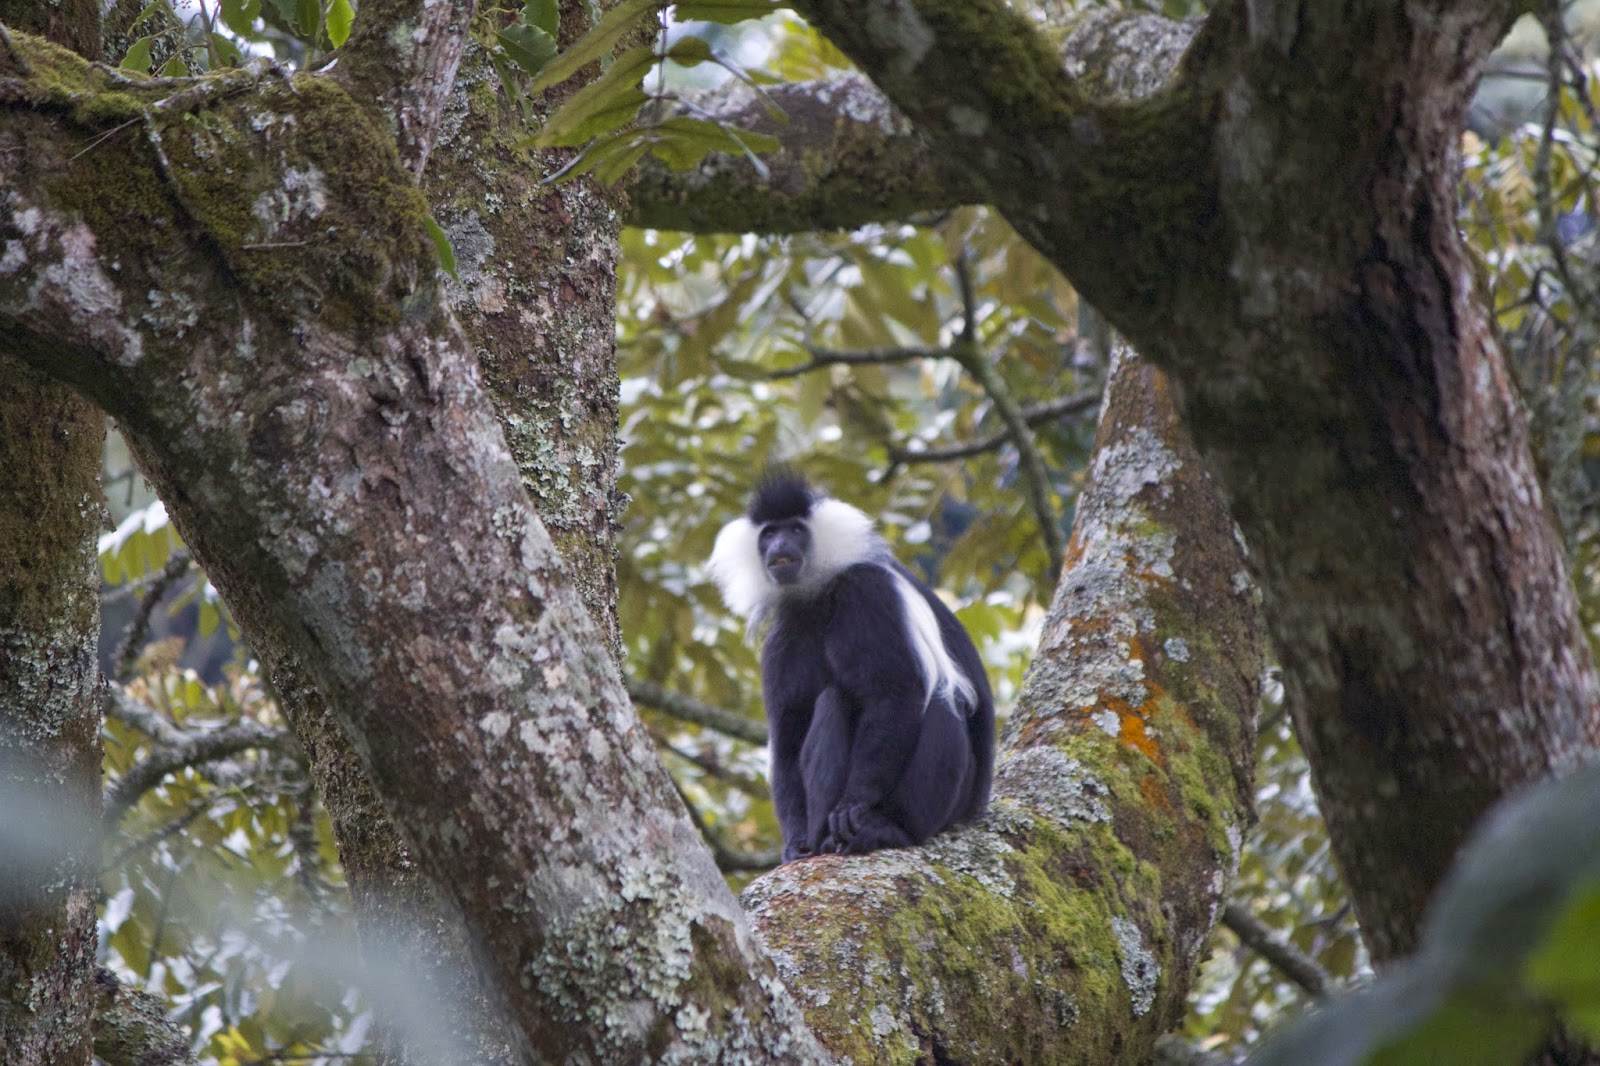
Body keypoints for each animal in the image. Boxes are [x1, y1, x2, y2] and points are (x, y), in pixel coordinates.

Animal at [708, 473, 994, 860]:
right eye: (768, 533)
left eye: (795, 530)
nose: (779, 545)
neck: (819, 595)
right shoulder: (783, 638)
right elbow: (789, 734)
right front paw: (795, 840)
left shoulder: (866, 593)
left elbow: (892, 694)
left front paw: (853, 804)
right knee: (830, 702)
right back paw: (821, 840)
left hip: (954, 800)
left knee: (941, 703)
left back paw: (887, 828)